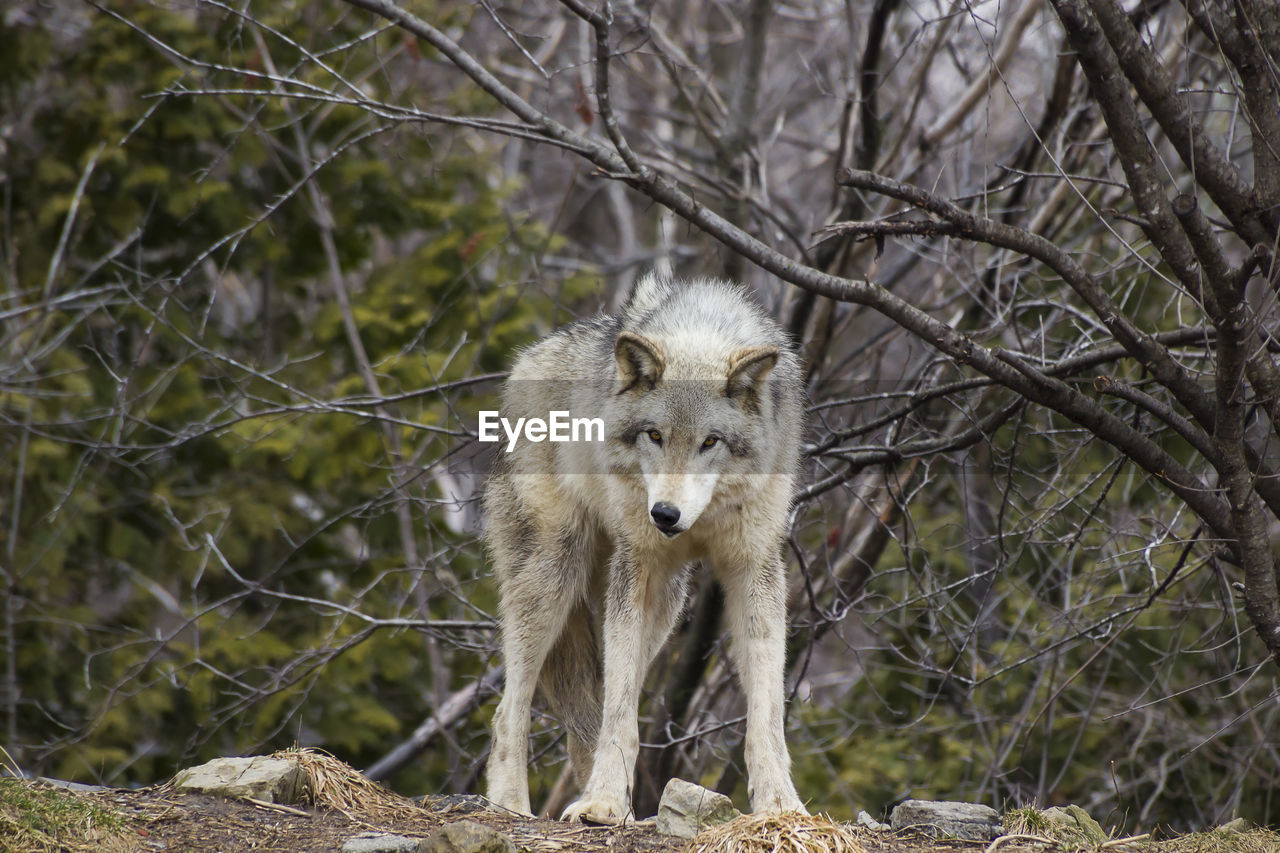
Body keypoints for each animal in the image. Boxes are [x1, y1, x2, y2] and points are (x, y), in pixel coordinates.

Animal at [483, 272, 803, 819]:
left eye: (710, 442)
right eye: (654, 435)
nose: (665, 515)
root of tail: (526, 360)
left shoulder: (754, 568)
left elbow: (765, 715)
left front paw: (780, 804)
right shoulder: (637, 563)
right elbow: (619, 712)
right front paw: (603, 803)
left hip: (666, 604)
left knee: (588, 712)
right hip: (558, 569)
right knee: (512, 708)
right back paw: (511, 804)